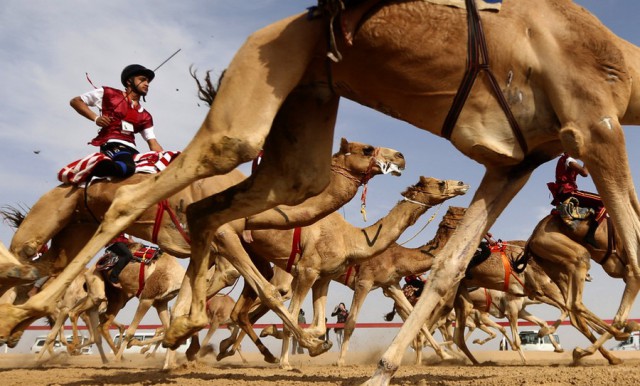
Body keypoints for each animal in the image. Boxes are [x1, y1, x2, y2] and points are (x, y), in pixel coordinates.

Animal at [1, 1, 640, 382]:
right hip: (247, 109)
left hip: (299, 126)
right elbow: (633, 244)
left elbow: (444, 274)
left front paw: (381, 365)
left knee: (203, 229)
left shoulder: (513, 162)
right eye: (368, 148)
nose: (401, 157)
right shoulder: (595, 125)